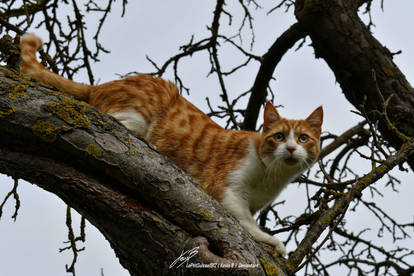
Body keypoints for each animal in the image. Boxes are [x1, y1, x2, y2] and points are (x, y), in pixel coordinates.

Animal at [20, 33, 324, 256]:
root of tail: (100, 86)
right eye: (279, 136)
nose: (291, 148)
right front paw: (271, 241)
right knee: (110, 118)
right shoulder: (227, 190)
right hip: (151, 101)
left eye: (303, 138)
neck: (271, 176)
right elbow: (244, 221)